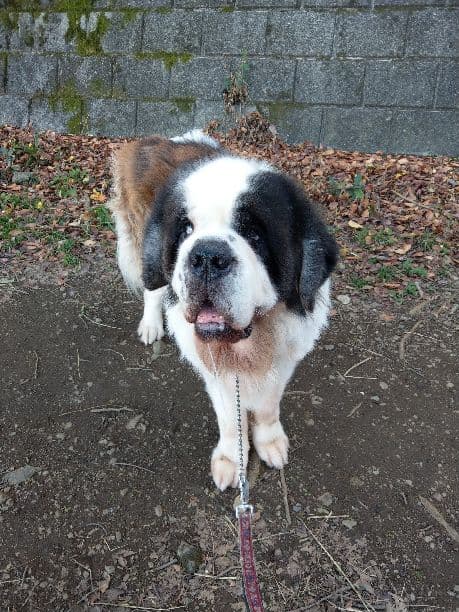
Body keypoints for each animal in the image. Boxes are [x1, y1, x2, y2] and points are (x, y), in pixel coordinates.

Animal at [109, 129, 338, 491]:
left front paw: (269, 441)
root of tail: (158, 140)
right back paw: (151, 323)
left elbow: (269, 405)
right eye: (186, 230)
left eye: (255, 234)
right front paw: (233, 459)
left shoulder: (285, 357)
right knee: (152, 286)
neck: (249, 343)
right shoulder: (216, 370)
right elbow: (230, 417)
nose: (206, 256)